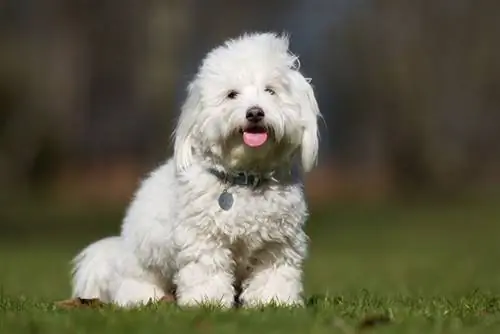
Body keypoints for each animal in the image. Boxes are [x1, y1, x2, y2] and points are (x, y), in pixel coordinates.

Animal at [70, 32, 320, 308]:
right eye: (232, 94)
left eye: (271, 91)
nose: (255, 112)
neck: (246, 178)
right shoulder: (203, 238)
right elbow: (207, 271)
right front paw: (207, 301)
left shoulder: (277, 242)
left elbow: (274, 274)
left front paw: (273, 301)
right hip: (142, 264)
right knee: (132, 286)